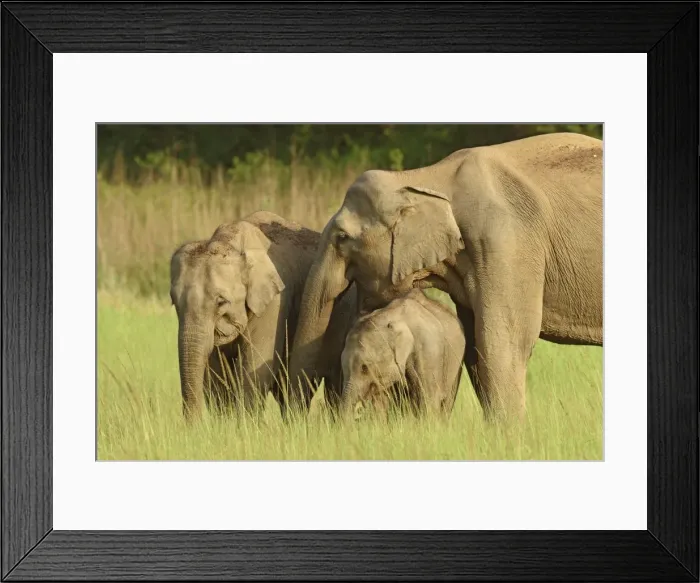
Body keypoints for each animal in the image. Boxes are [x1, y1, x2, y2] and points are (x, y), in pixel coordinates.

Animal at [169, 210, 358, 421]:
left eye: (221, 302)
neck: (230, 242)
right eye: (174, 302)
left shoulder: (275, 304)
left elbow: (255, 369)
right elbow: (216, 374)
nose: (196, 425)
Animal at [340, 289, 466, 421]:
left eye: (364, 368)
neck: (392, 316)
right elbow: (381, 401)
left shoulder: (428, 349)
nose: (358, 413)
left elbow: (428, 398)